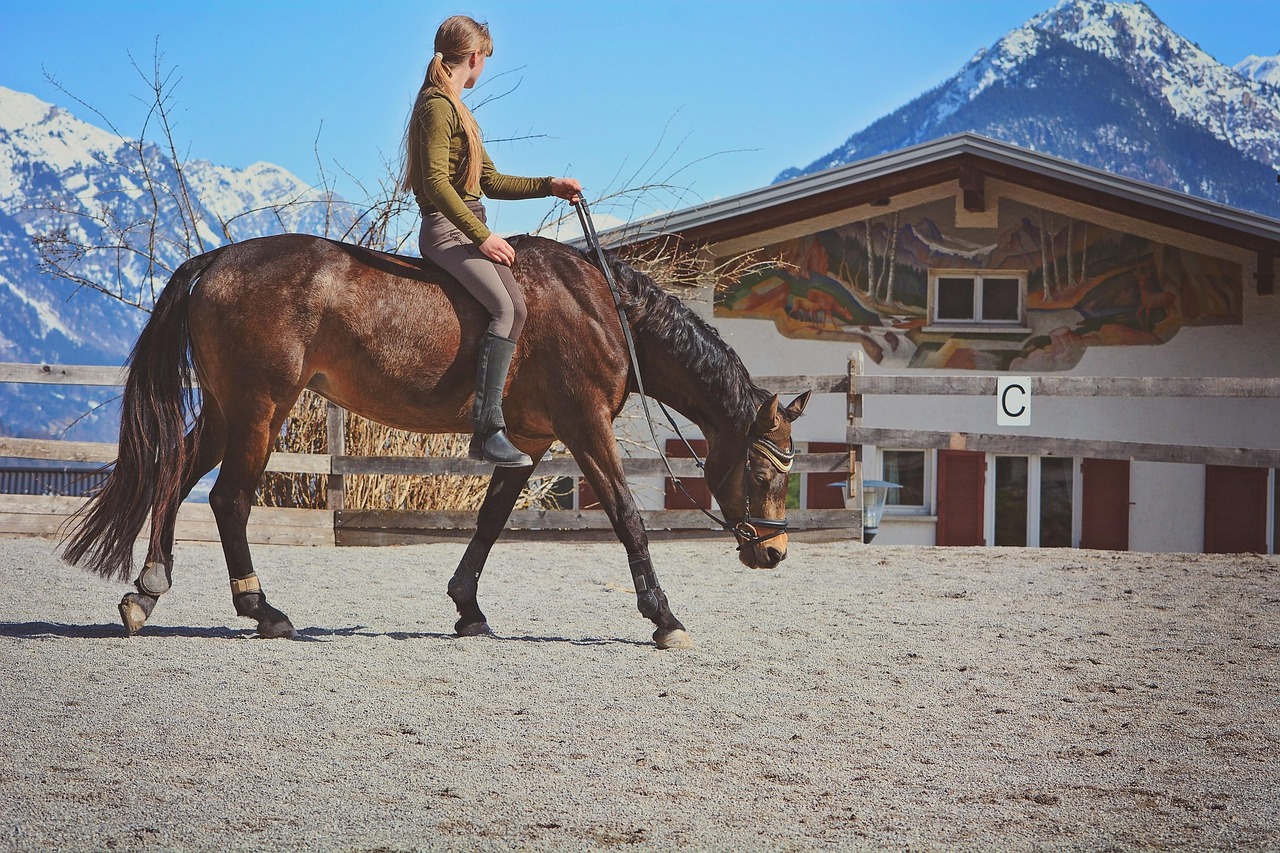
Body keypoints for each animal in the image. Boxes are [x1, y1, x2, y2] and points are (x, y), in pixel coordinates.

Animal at [61, 233, 810, 649]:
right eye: (767, 475)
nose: (774, 552)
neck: (602, 307)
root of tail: (219, 260)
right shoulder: (584, 424)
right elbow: (628, 516)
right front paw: (663, 618)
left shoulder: (532, 437)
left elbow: (490, 520)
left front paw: (467, 607)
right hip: (259, 409)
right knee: (229, 500)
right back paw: (262, 609)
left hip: (228, 410)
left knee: (176, 471)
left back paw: (146, 591)